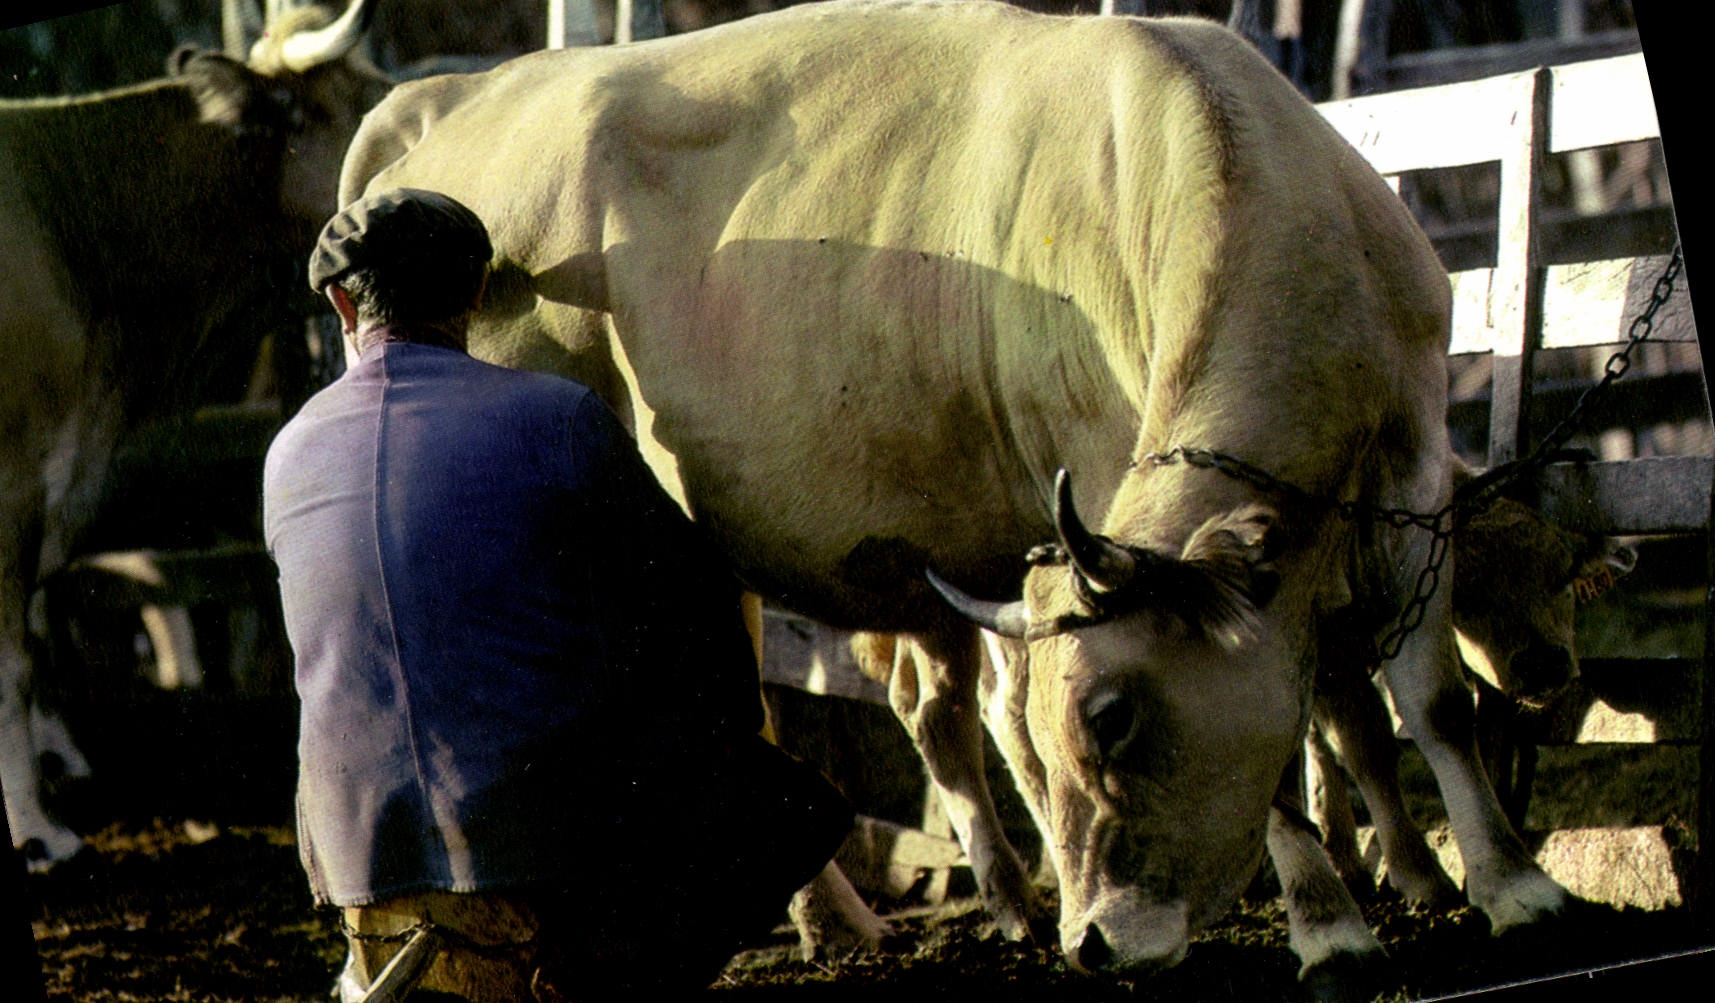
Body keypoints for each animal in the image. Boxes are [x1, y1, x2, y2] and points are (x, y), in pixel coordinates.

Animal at [334, 0, 1573, 981]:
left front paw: (1508, 888)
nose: (1097, 945)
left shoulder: (1409, 460)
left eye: (1109, 716)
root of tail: (458, 100)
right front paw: (1328, 925)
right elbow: (1297, 735)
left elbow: (1424, 696)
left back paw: (947, 909)